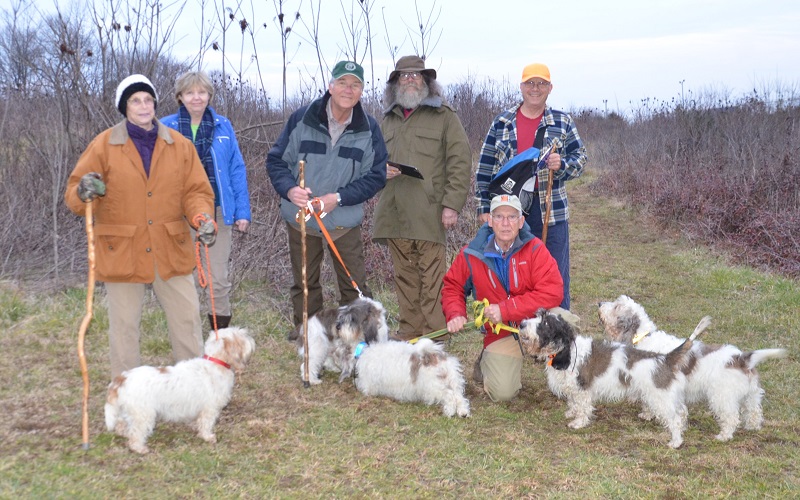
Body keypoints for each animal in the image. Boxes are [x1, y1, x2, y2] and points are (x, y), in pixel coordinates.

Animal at [104, 327, 256, 454]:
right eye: (240, 335)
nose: (252, 341)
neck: (214, 362)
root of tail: (121, 379)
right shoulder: (209, 409)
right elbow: (206, 424)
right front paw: (208, 437)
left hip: (127, 410)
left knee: (121, 424)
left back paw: (124, 433)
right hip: (143, 415)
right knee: (135, 434)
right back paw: (140, 448)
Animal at [335, 338, 471, 418]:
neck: (361, 352)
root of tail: (432, 355)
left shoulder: (369, 386)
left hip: (434, 387)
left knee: (450, 395)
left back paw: (450, 411)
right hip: (454, 380)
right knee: (459, 396)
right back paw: (463, 412)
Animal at [519, 308, 705, 448]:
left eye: (546, 323)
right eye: (537, 316)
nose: (521, 324)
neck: (567, 351)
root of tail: (665, 358)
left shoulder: (582, 389)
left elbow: (583, 407)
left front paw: (578, 422)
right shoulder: (573, 388)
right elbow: (573, 402)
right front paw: (571, 412)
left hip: (661, 398)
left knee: (674, 418)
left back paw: (676, 441)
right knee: (682, 412)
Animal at [598, 295, 787, 441]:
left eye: (616, 306)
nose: (599, 304)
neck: (644, 336)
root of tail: (741, 359)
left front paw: (648, 414)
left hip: (722, 397)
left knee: (732, 418)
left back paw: (723, 436)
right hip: (752, 395)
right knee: (755, 412)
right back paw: (752, 427)